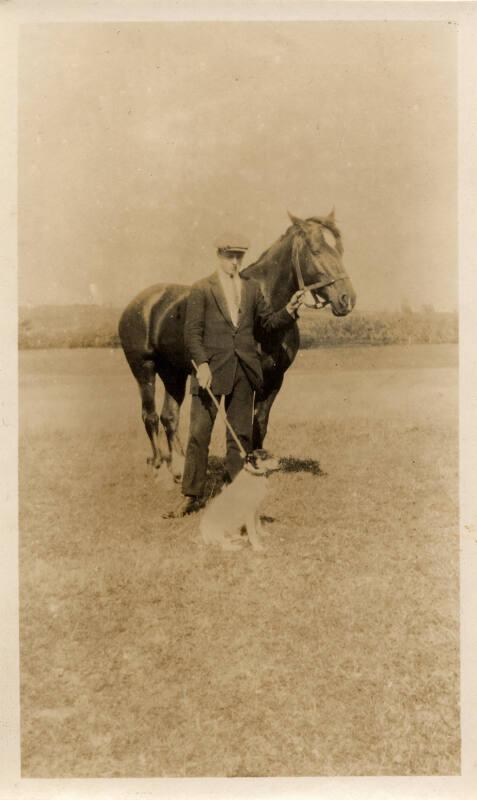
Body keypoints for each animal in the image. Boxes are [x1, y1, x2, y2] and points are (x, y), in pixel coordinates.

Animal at [118, 210, 356, 480]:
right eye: (315, 251)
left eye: (340, 250)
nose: (347, 299)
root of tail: (139, 303)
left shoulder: (275, 377)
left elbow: (259, 420)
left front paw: (257, 461)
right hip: (144, 368)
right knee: (149, 416)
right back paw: (159, 463)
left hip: (174, 372)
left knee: (169, 417)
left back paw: (177, 466)